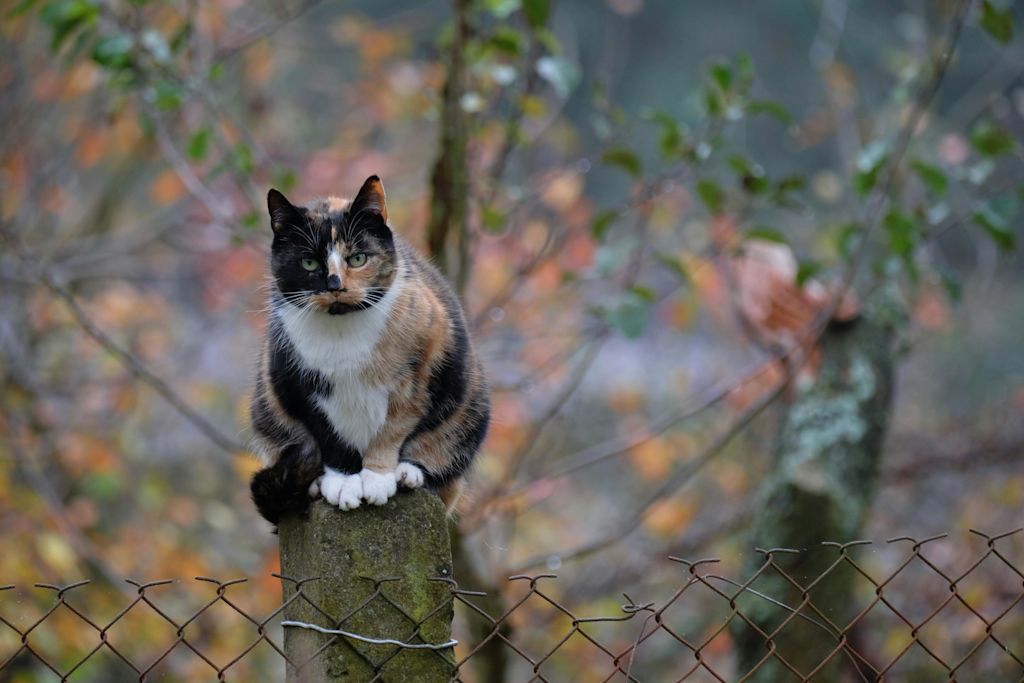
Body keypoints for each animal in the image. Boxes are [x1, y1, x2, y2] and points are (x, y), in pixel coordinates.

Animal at [247, 175, 487, 524]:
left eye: (358, 258)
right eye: (309, 262)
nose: (335, 285)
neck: (343, 333)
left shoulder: (417, 374)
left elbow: (393, 428)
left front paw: (375, 479)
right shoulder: (296, 382)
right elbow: (329, 437)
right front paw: (344, 484)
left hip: (468, 406)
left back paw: (408, 474)